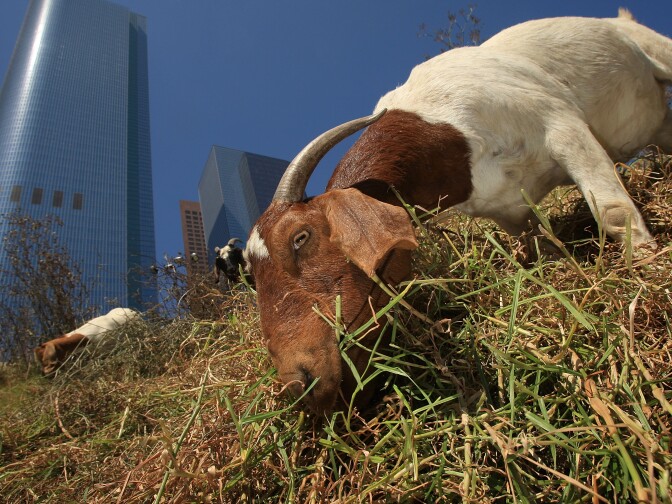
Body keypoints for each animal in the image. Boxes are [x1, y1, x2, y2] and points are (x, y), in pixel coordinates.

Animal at [244, 11, 672, 414]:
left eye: (300, 237)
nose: (298, 382)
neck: (443, 133)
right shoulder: (510, 211)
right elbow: (542, 249)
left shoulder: (561, 125)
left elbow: (613, 211)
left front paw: (651, 274)